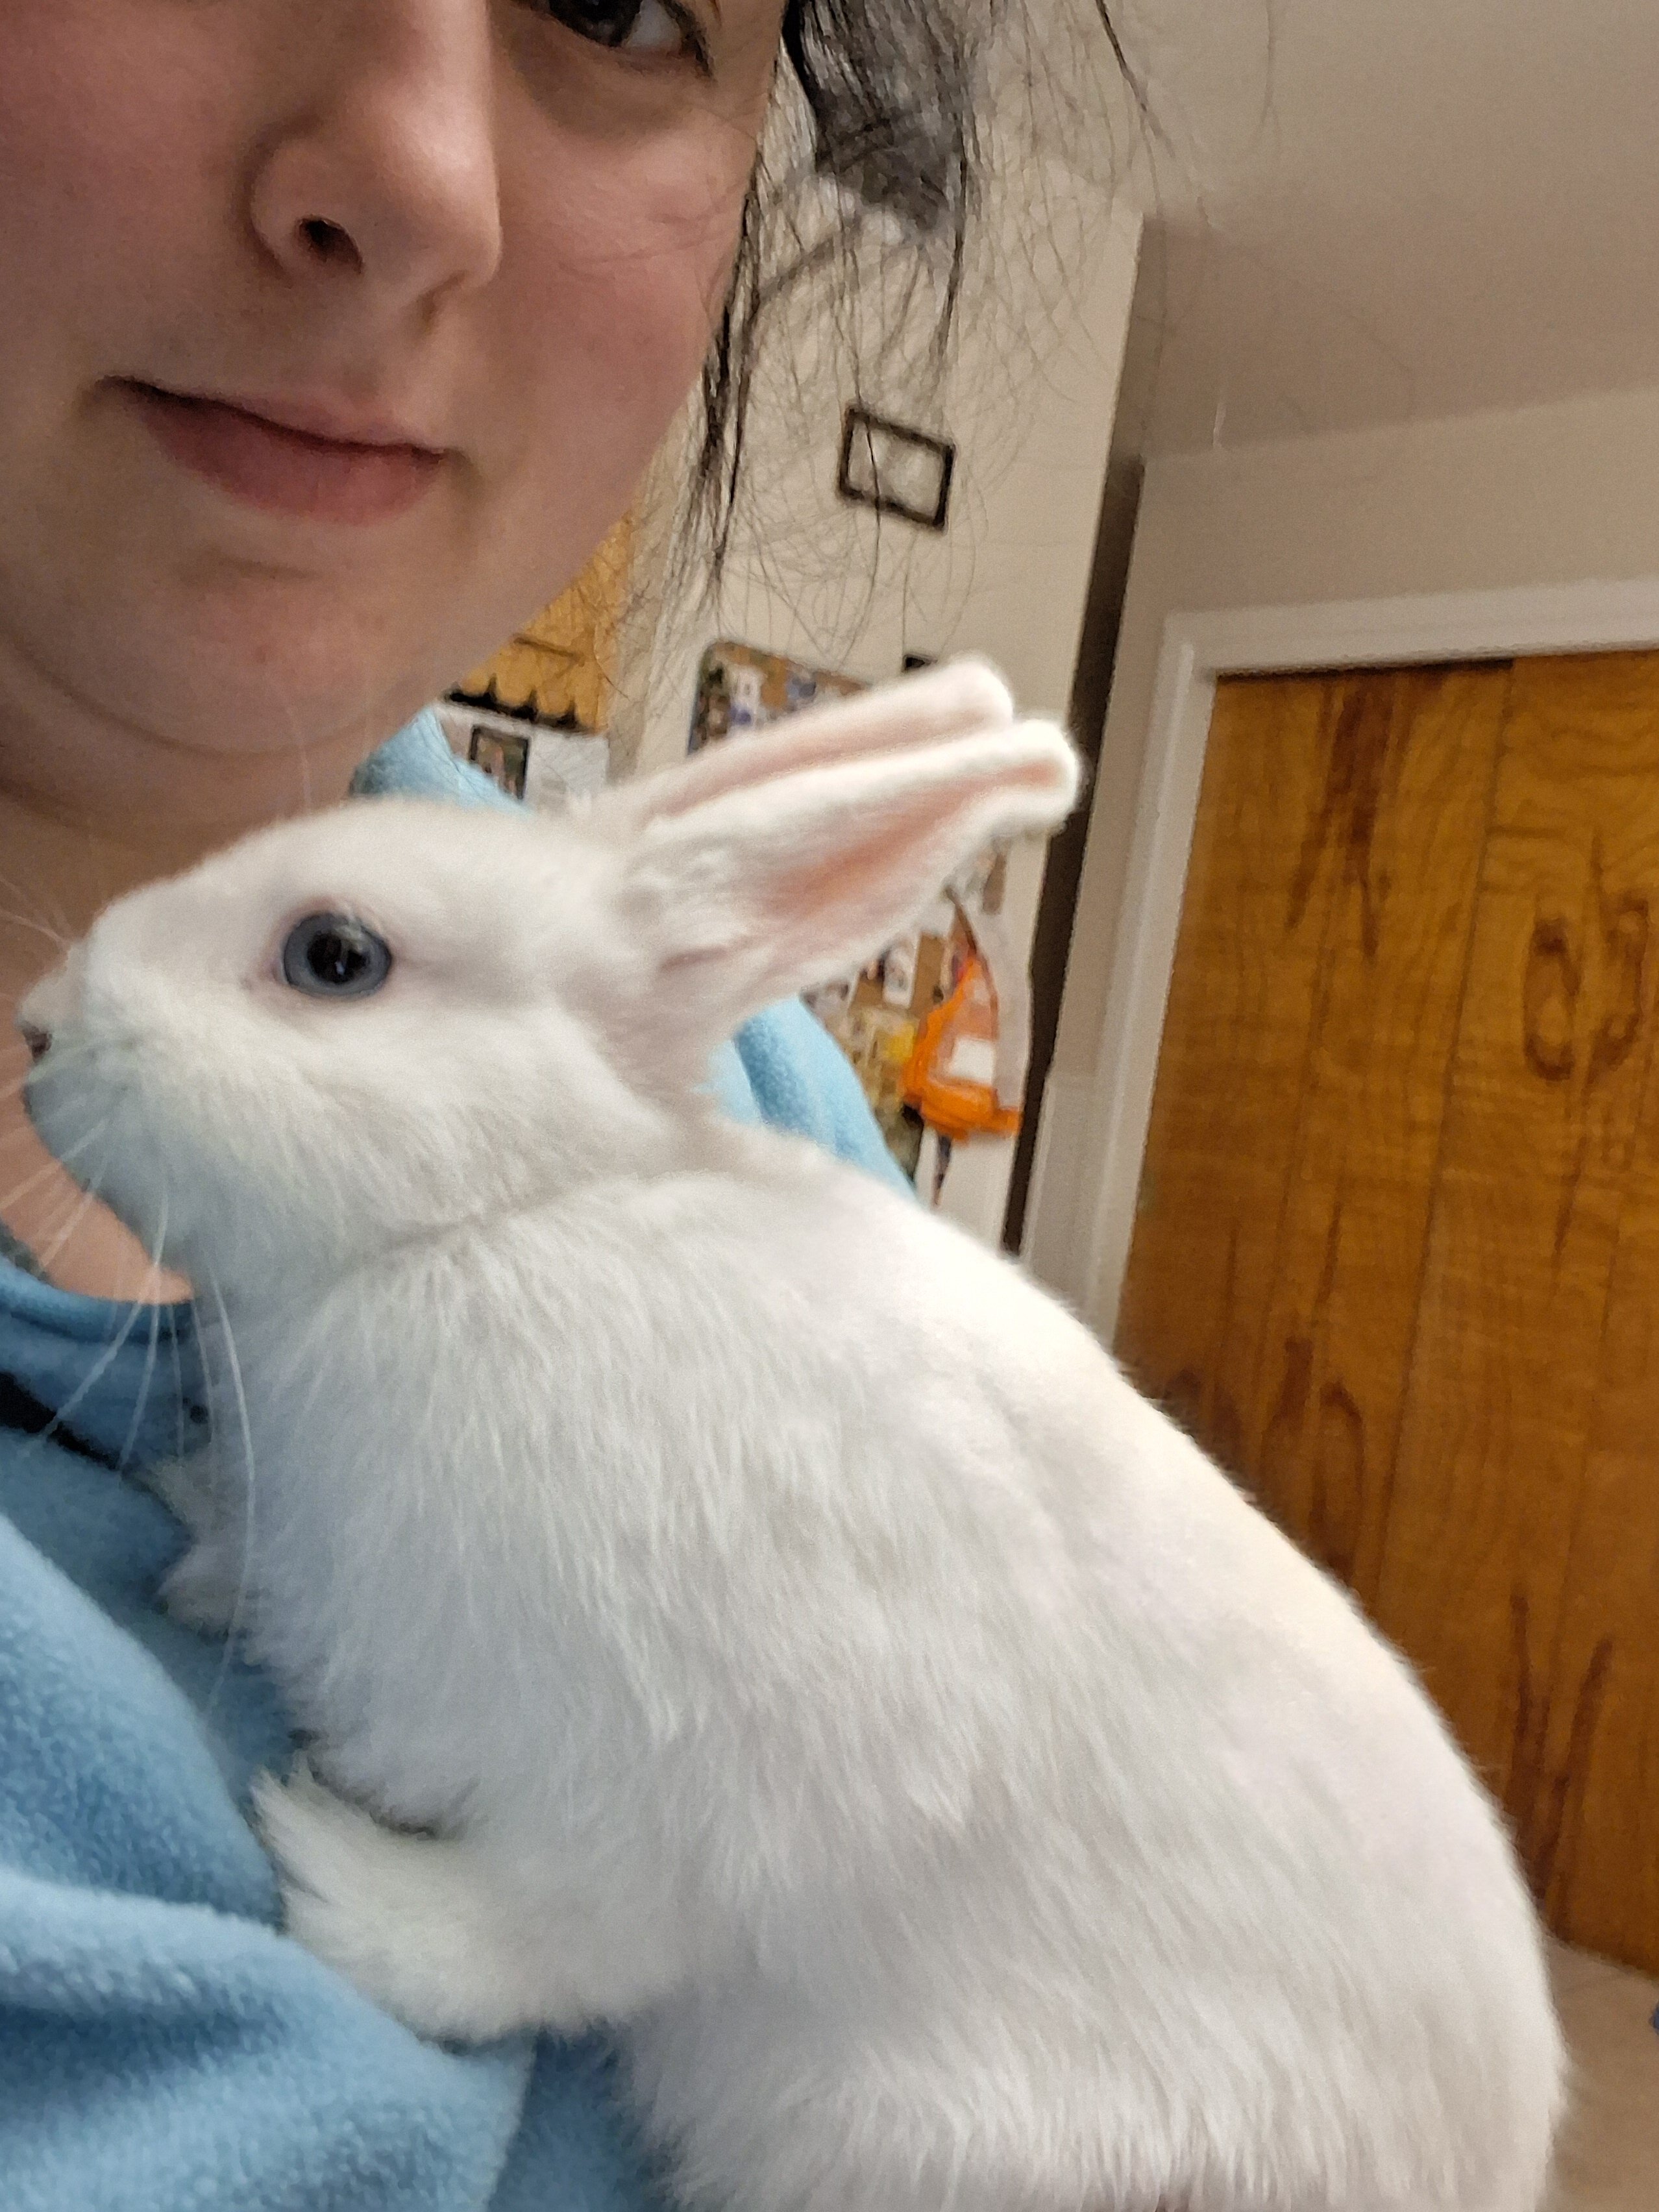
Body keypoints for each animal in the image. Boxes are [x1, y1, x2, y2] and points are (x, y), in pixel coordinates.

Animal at [19, 660, 1563, 2212]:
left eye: (334, 956)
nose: (37, 1025)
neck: (496, 1218)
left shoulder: (696, 1781)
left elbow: (555, 1935)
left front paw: (338, 1882)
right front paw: (202, 1537)